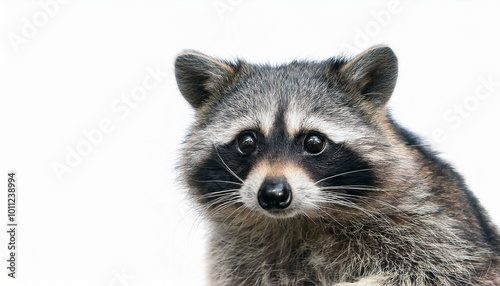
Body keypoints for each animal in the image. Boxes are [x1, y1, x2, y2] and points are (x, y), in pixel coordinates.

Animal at [174, 45, 498, 284]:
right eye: (247, 142)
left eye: (314, 143)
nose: (273, 194)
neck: (297, 220)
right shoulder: (235, 260)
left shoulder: (436, 228)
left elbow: (436, 273)